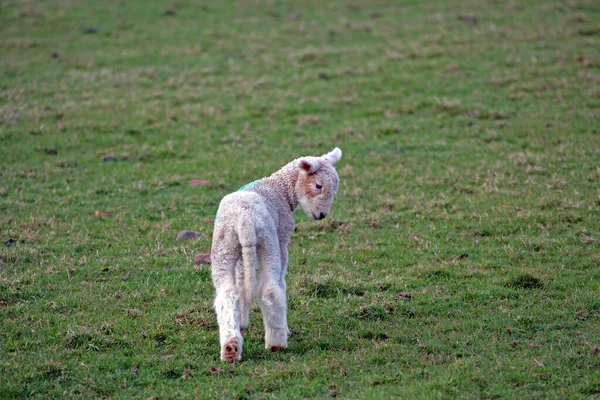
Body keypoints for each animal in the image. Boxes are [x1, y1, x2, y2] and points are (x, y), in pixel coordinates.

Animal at [211, 147, 342, 362]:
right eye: (318, 185)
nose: (322, 216)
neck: (281, 188)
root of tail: (244, 220)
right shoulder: (282, 238)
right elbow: (281, 281)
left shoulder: (240, 257)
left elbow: (241, 282)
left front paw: (242, 320)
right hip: (268, 242)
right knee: (270, 290)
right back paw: (277, 343)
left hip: (224, 246)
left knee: (227, 294)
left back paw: (230, 348)